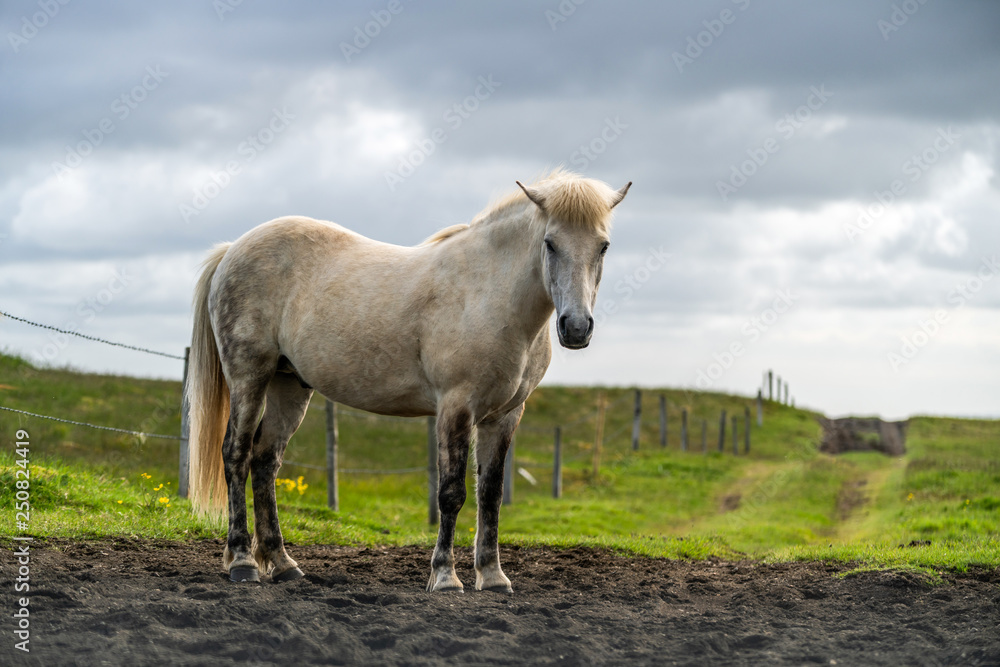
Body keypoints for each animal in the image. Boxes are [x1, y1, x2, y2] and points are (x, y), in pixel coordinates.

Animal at [184, 170, 628, 592]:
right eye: (550, 243)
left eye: (603, 246)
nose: (576, 327)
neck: (488, 294)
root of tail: (233, 249)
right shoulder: (455, 407)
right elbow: (451, 493)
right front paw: (445, 577)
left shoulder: (504, 416)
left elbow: (490, 495)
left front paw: (492, 576)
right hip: (250, 377)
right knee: (236, 455)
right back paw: (243, 562)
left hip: (289, 386)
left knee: (264, 462)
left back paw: (282, 564)